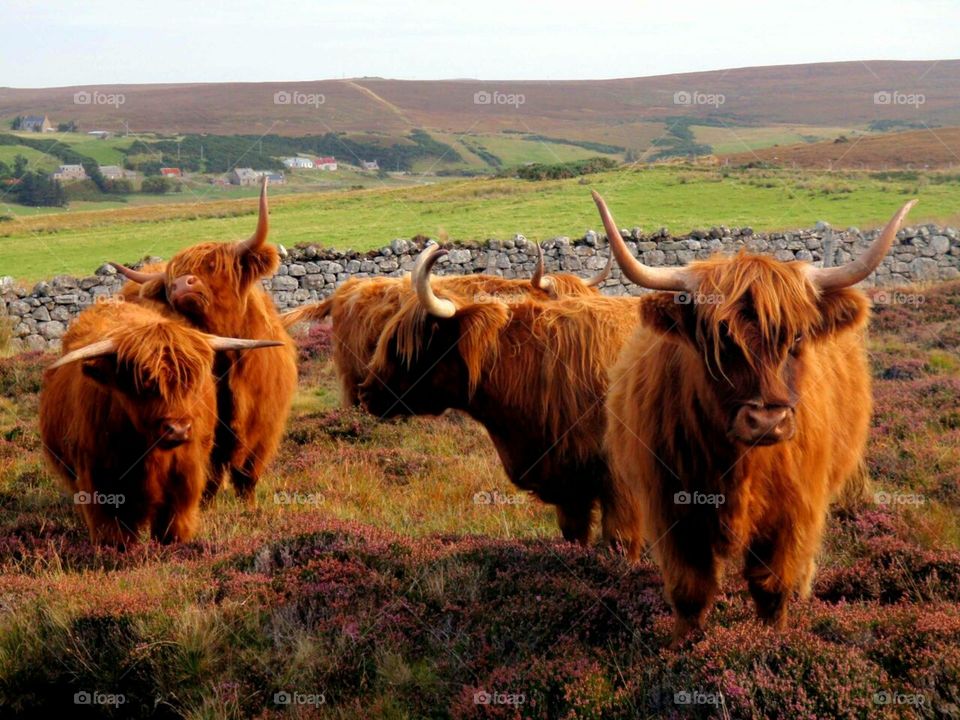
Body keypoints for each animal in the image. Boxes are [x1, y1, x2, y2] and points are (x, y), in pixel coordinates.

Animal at [38, 300, 278, 544]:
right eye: (143, 383)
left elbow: (173, 526)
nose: (178, 430)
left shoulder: (185, 478)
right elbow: (113, 532)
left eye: (191, 382)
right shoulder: (99, 480)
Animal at [596, 190, 920, 640]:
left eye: (796, 337)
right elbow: (689, 590)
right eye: (719, 340)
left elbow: (771, 586)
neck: (738, 467)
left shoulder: (793, 511)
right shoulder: (672, 509)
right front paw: (684, 645)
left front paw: (772, 641)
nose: (767, 422)